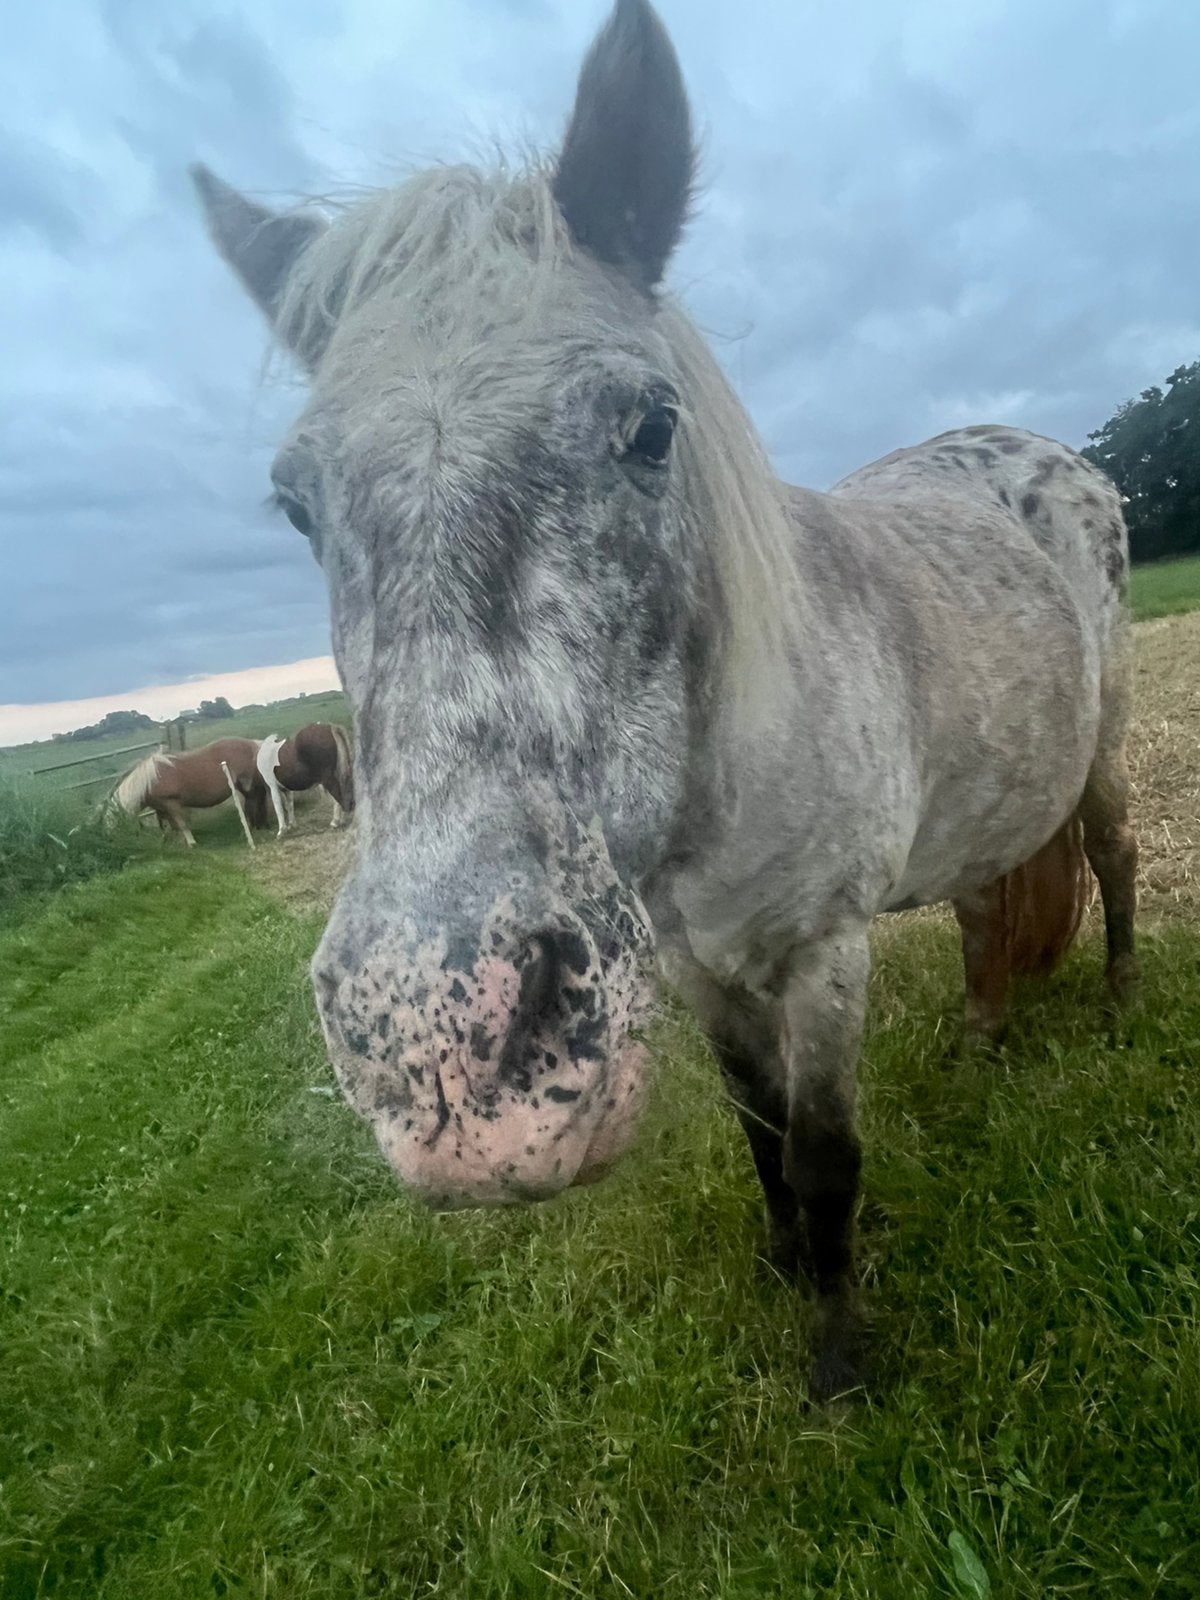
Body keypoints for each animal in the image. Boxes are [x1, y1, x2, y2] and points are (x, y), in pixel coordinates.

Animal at [110, 738, 271, 847]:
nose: (114, 841)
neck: (150, 781)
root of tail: (254, 744)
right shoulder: (162, 809)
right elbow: (170, 826)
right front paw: (171, 841)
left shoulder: (172, 804)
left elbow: (181, 824)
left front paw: (191, 842)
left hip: (247, 786)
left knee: (254, 803)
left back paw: (253, 828)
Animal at [193, 0, 1138, 1399]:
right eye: (296, 502)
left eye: (651, 429)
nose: (447, 1060)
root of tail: (1048, 461)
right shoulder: (696, 965)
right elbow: (758, 1132)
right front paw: (786, 1267)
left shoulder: (824, 956)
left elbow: (825, 1155)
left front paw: (838, 1366)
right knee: (985, 904)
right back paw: (981, 1032)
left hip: (1106, 740)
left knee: (1116, 854)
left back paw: (1124, 1000)